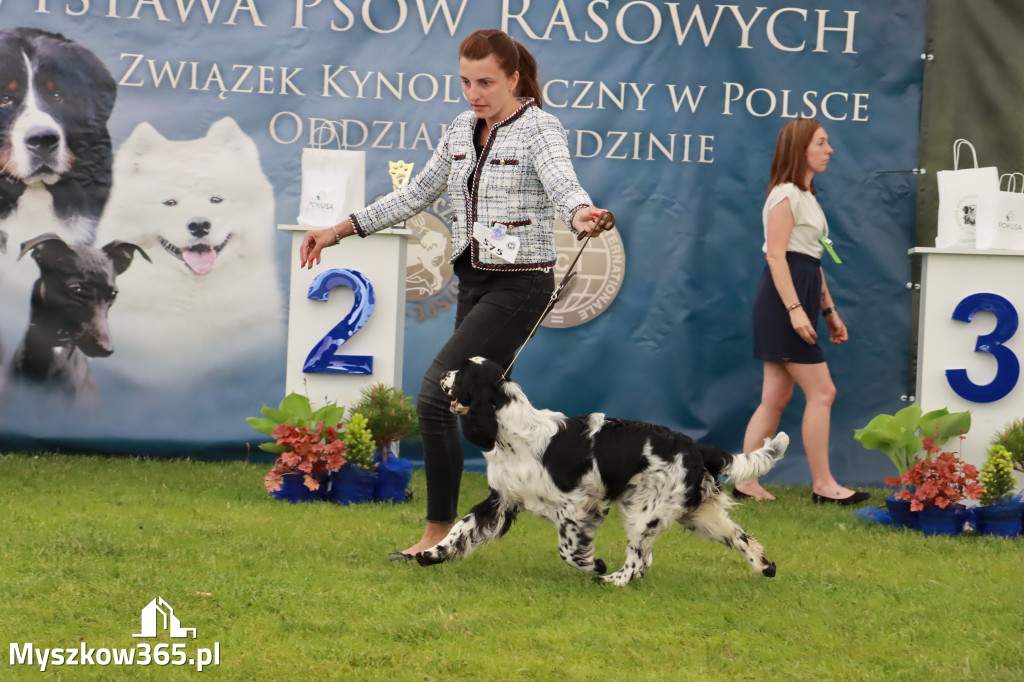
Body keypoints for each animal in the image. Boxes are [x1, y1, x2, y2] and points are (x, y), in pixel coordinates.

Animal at [415, 356, 790, 585]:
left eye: (461, 372)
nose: (442, 375)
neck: (514, 431)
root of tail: (694, 446)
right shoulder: (501, 501)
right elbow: (460, 530)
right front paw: (428, 555)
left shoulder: (577, 507)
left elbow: (568, 550)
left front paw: (594, 565)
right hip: (697, 514)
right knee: (739, 537)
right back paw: (766, 567)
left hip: (644, 514)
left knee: (639, 560)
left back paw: (610, 580)